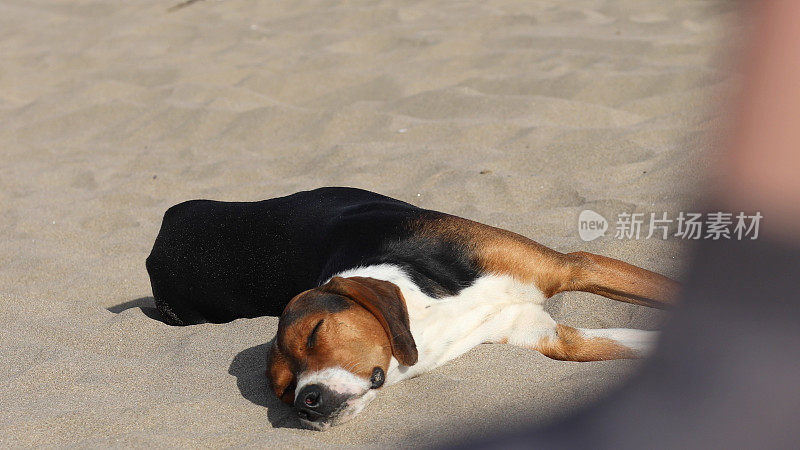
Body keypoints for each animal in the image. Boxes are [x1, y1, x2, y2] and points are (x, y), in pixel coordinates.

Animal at [147, 185, 680, 428]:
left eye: (315, 332)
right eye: (282, 392)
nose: (306, 403)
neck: (431, 310)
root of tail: (163, 228)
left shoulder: (574, 266)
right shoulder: (553, 337)